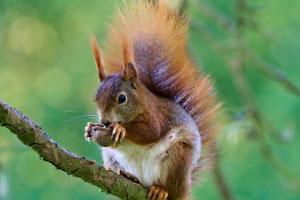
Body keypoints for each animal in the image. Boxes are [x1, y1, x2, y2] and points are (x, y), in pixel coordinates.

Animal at [84, 0, 220, 199]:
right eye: (95, 98)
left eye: (122, 98)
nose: (105, 121)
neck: (140, 104)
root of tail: (184, 189)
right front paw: (89, 128)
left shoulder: (156, 115)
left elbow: (151, 131)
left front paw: (120, 128)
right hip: (111, 158)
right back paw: (129, 176)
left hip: (177, 158)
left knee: (169, 185)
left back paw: (160, 190)